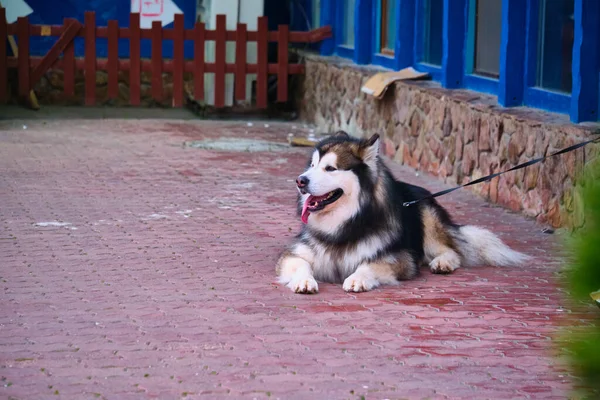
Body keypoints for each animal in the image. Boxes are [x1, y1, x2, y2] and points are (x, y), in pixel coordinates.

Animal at [276, 131, 528, 294]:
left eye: (330, 168)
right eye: (312, 166)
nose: (300, 181)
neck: (344, 223)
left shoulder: (400, 258)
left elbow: (369, 264)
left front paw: (357, 278)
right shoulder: (294, 254)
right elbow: (300, 264)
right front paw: (304, 281)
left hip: (428, 217)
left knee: (451, 249)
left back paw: (442, 262)